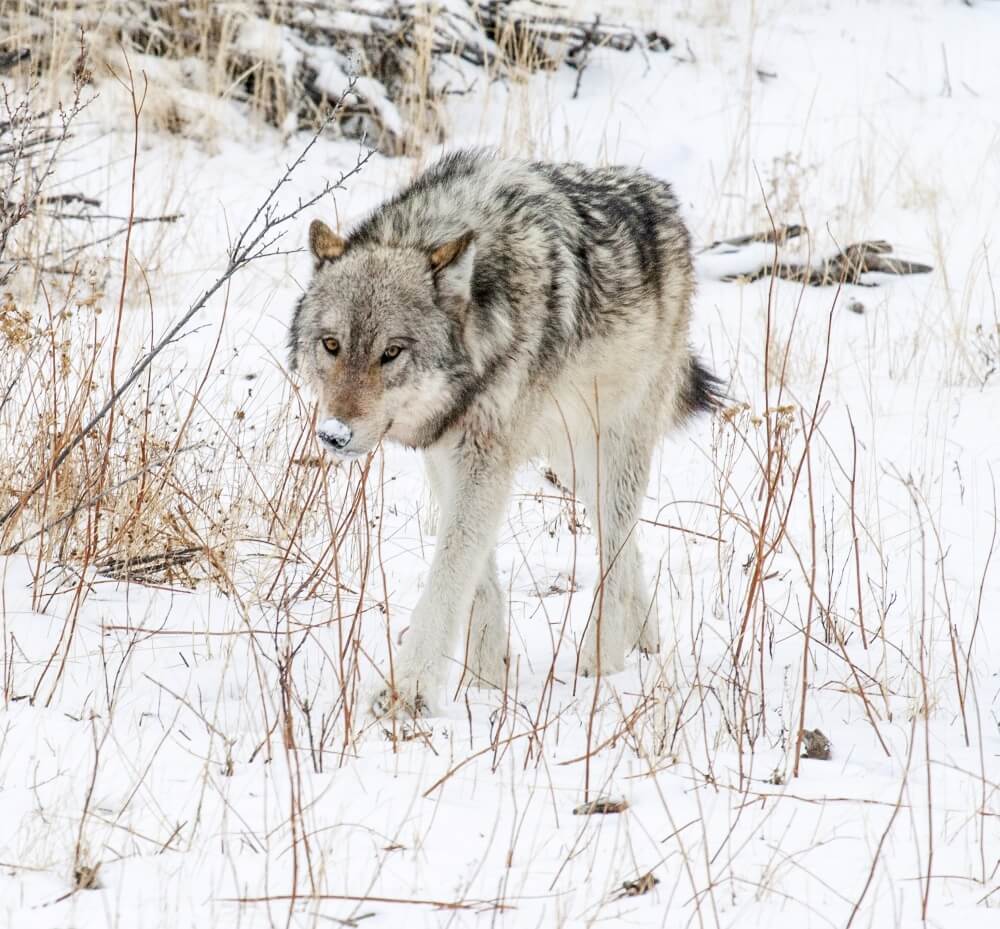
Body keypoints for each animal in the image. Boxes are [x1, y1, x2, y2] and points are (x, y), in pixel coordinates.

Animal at [289, 150, 718, 716]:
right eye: (332, 345)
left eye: (391, 352)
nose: (335, 435)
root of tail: (661, 195)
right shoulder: (447, 456)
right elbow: (477, 579)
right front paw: (486, 678)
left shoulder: (484, 460)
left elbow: (449, 575)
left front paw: (408, 692)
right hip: (573, 463)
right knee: (625, 547)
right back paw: (645, 640)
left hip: (614, 448)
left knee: (615, 546)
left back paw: (601, 661)